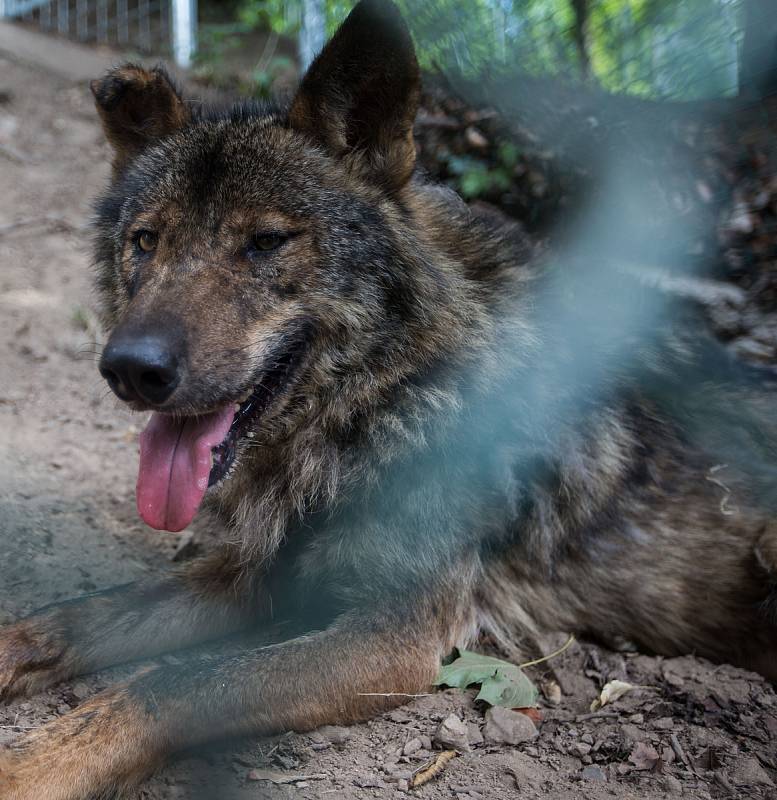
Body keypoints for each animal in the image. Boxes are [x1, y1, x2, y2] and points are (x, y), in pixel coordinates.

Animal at [1, 1, 776, 800]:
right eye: (146, 241)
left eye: (266, 242)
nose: (130, 368)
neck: (366, 417)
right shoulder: (254, 578)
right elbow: (61, 621)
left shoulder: (392, 639)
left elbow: (164, 686)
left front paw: (26, 770)